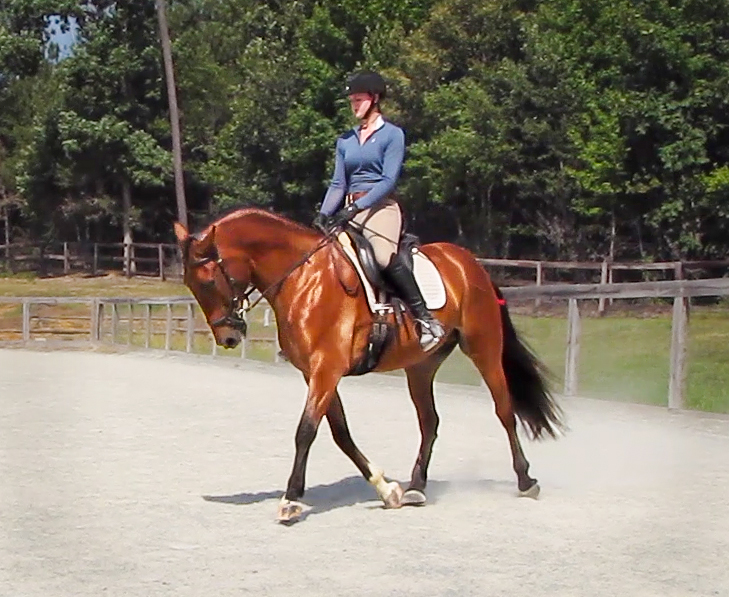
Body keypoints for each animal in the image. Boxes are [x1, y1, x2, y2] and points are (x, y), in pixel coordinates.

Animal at [173, 208, 564, 520]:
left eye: (209, 280)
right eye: (190, 283)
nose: (228, 337)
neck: (303, 278)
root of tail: (468, 262)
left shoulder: (326, 368)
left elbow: (306, 431)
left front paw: (291, 500)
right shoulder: (316, 373)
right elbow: (341, 434)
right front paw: (386, 490)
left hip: (484, 349)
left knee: (504, 411)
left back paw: (526, 480)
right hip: (420, 366)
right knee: (429, 422)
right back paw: (415, 488)